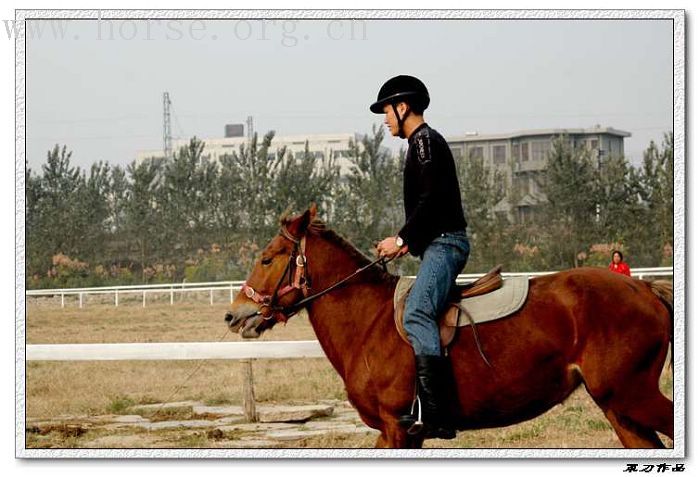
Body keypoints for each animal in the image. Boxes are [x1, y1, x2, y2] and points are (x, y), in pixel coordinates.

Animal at [224, 206, 672, 448]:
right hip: (619, 407)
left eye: (267, 258)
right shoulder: (396, 432)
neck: (369, 322)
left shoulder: (398, 426)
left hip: (632, 395)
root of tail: (644, 288)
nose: (234, 315)